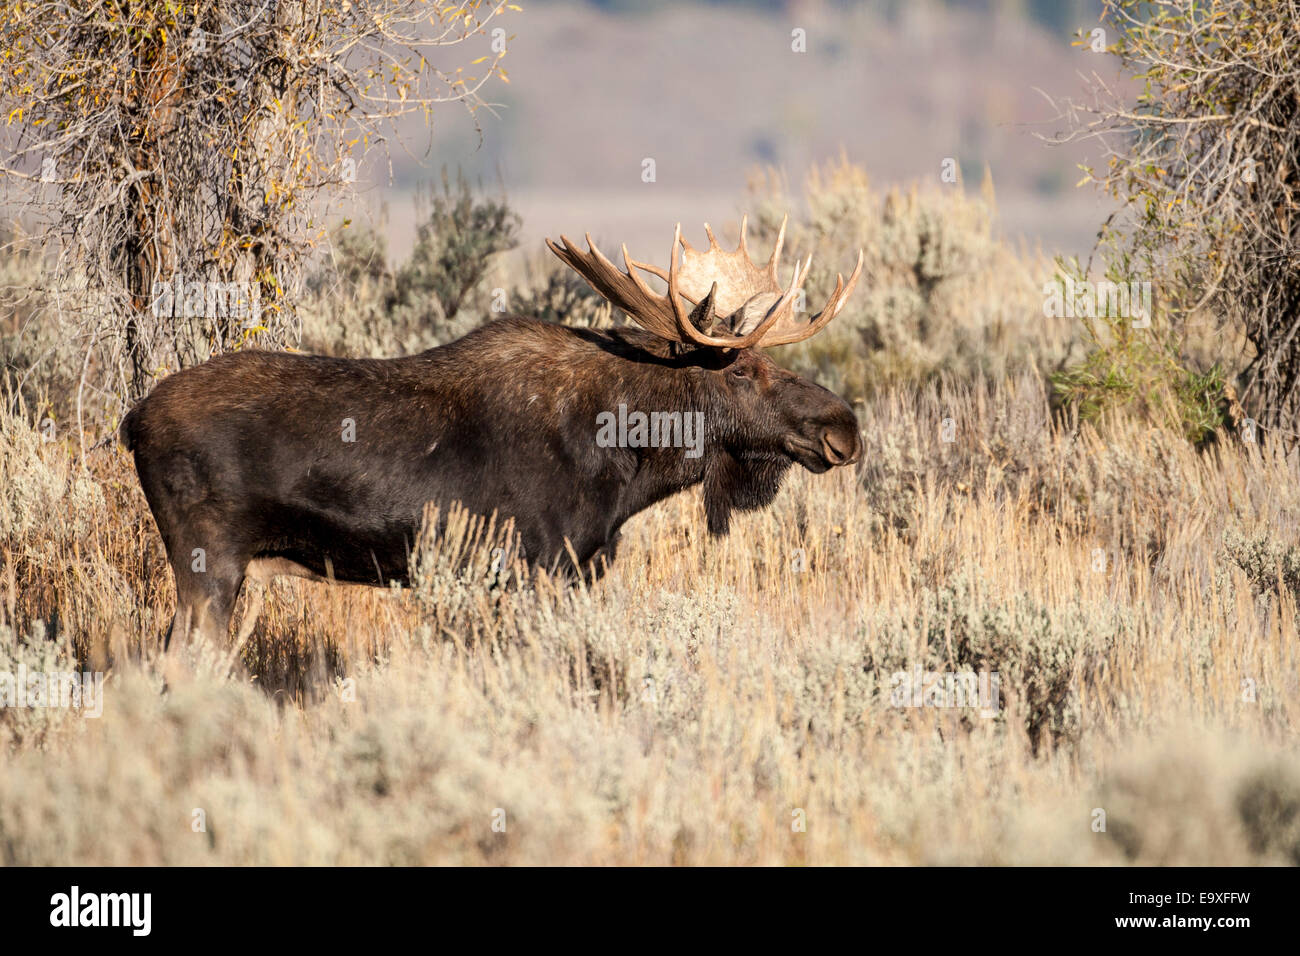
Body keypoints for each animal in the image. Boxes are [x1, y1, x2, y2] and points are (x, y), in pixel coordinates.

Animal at [119, 216, 864, 645]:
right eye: (740, 369)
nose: (844, 427)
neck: (627, 462)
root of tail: (132, 420)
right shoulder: (544, 567)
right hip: (209, 561)